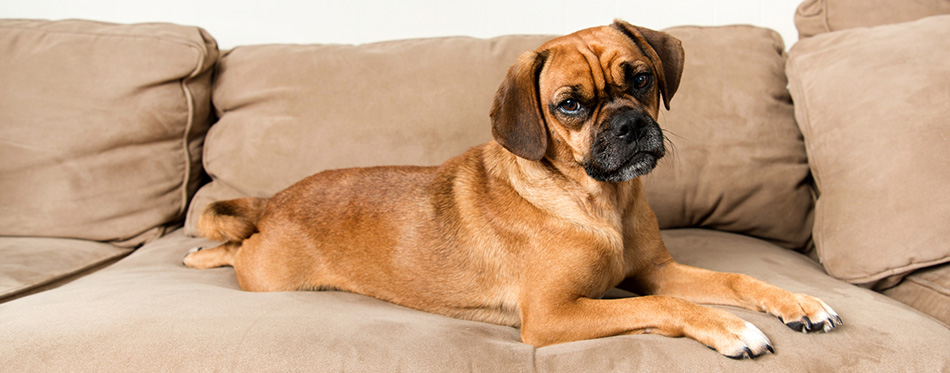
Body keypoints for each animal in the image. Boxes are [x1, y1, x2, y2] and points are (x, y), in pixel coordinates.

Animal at [182, 20, 844, 358]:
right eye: (570, 105)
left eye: (641, 79)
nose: (630, 125)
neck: (598, 204)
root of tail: (277, 199)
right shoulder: (554, 315)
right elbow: (663, 308)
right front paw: (731, 329)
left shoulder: (656, 270)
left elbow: (734, 280)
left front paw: (797, 302)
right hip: (268, 274)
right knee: (234, 246)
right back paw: (200, 253)